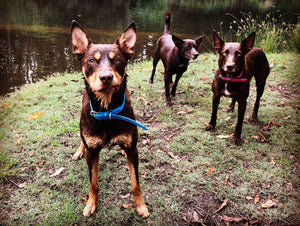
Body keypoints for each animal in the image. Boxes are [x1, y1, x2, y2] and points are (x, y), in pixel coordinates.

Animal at [70, 20, 150, 218]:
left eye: (117, 60)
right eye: (91, 60)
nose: (106, 77)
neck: (107, 111)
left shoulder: (133, 150)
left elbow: (136, 184)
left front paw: (140, 205)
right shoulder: (92, 152)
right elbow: (93, 183)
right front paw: (91, 203)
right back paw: (79, 150)